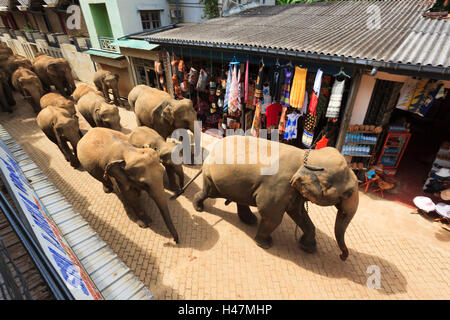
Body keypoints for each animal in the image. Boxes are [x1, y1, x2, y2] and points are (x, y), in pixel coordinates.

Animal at [193, 134, 358, 260]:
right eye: (348, 193)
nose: (342, 256)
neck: (308, 156)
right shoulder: (278, 186)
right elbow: (272, 215)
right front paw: (265, 244)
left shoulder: (293, 191)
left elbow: (299, 214)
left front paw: (308, 247)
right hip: (211, 178)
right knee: (208, 193)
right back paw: (199, 207)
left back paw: (250, 220)